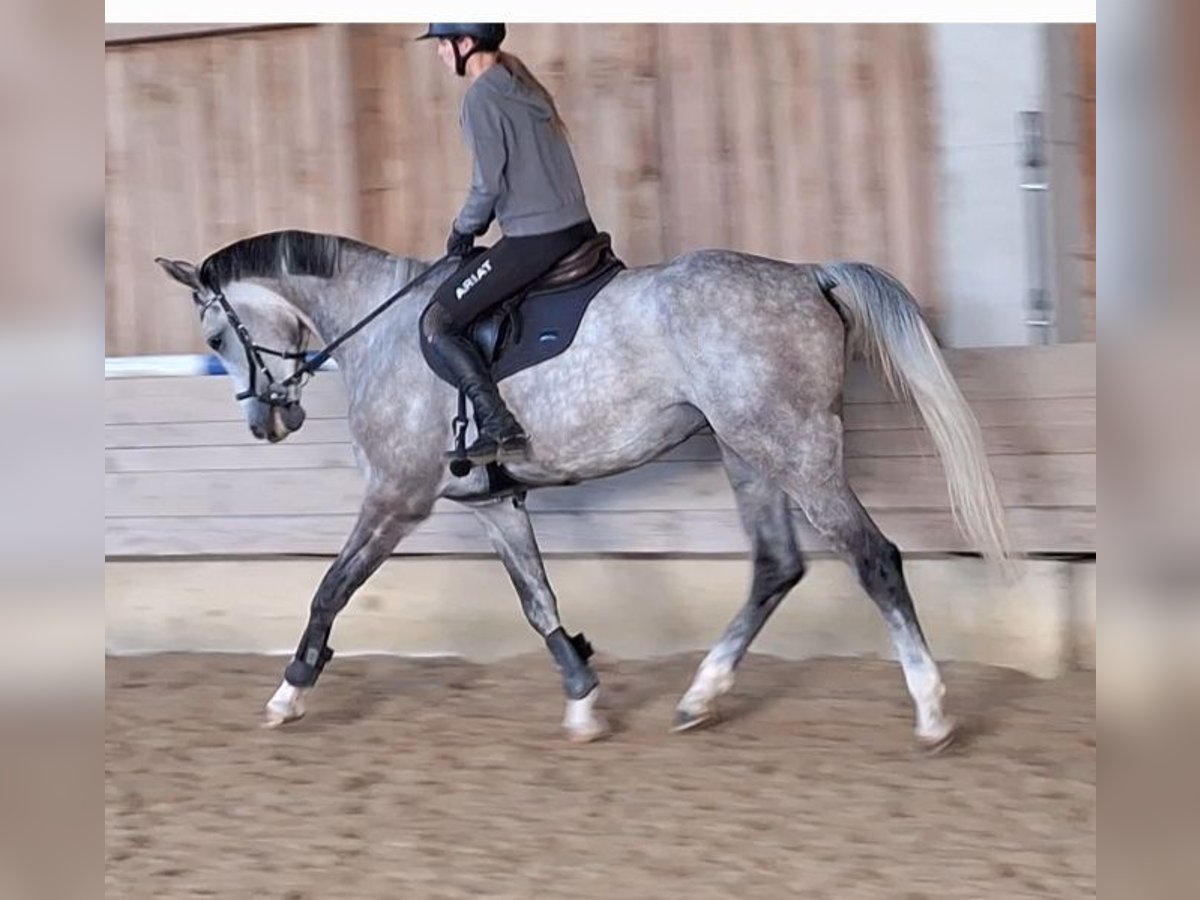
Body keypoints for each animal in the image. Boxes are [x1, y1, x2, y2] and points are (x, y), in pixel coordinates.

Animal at [154, 229, 1008, 748]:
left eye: (215, 335)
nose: (267, 421)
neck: (380, 329)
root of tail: (806, 275)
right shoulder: (494, 503)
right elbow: (538, 602)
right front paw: (583, 696)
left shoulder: (397, 497)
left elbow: (329, 590)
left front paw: (289, 692)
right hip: (747, 450)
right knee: (777, 566)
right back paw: (700, 696)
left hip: (793, 448)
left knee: (874, 558)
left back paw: (932, 713)